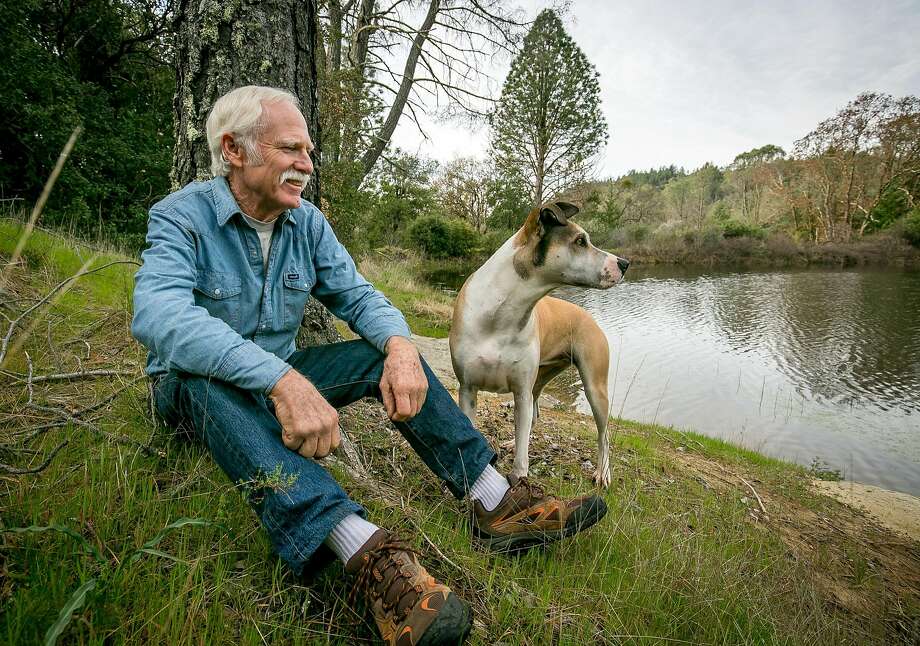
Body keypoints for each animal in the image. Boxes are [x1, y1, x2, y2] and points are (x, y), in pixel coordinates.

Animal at [450, 201, 628, 486]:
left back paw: (603, 472)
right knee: (533, 418)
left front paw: (520, 476)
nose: (624, 263)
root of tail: (587, 316)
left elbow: (523, 448)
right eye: (580, 241)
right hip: (541, 379)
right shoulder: (468, 389)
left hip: (594, 387)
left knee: (604, 434)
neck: (502, 312)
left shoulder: (521, 390)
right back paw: (513, 442)